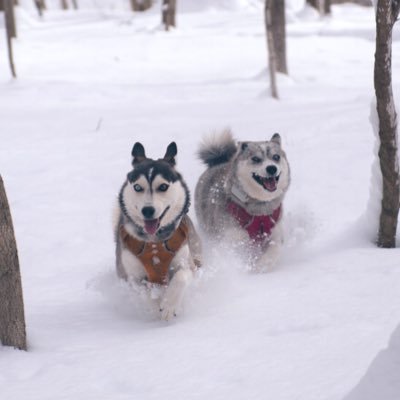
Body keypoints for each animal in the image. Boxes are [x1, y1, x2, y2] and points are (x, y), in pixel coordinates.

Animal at [115, 142, 203, 320]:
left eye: (163, 186)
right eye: (137, 187)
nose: (147, 210)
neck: (154, 242)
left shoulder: (185, 261)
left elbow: (181, 277)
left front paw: (169, 305)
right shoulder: (133, 277)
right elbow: (145, 293)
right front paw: (156, 307)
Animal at [195, 130, 290, 270]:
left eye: (276, 157)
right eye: (256, 159)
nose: (272, 168)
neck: (260, 210)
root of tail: (218, 161)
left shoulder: (275, 234)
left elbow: (274, 250)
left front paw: (262, 265)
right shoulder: (232, 239)